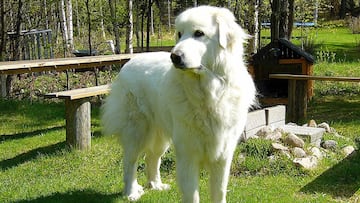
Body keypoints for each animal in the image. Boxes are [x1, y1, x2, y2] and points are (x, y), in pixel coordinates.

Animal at [102, 5, 256, 203]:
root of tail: (130, 61)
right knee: (130, 161)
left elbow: (219, 192)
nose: (174, 56)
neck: (209, 93)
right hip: (136, 131)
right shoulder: (187, 154)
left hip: (160, 136)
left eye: (199, 33)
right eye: (179, 34)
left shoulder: (223, 155)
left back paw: (156, 185)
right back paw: (131, 192)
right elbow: (192, 194)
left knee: (152, 158)